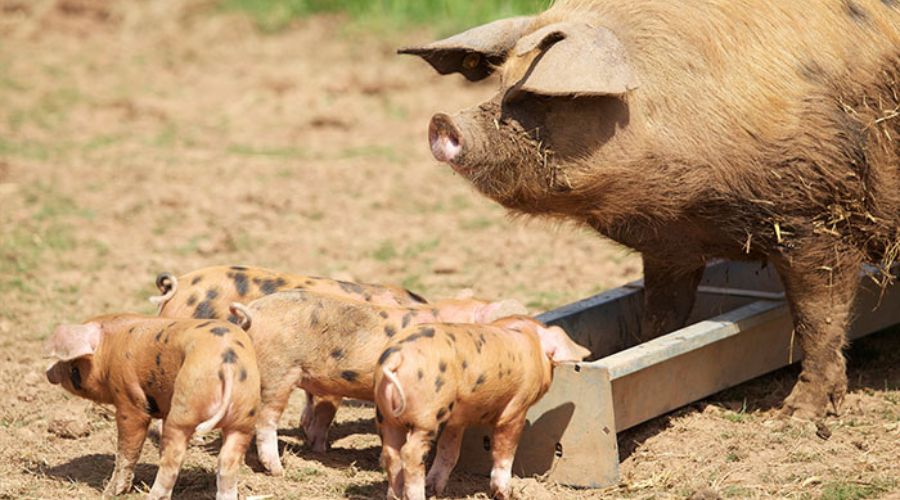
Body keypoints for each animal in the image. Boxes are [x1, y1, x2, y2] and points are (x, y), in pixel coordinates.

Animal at [404, 0, 896, 420]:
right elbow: (661, 310)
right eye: (502, 82)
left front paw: (796, 417)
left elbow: (818, 318)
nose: (443, 122)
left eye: (540, 96)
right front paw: (648, 346)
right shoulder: (670, 246)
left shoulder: (816, 219)